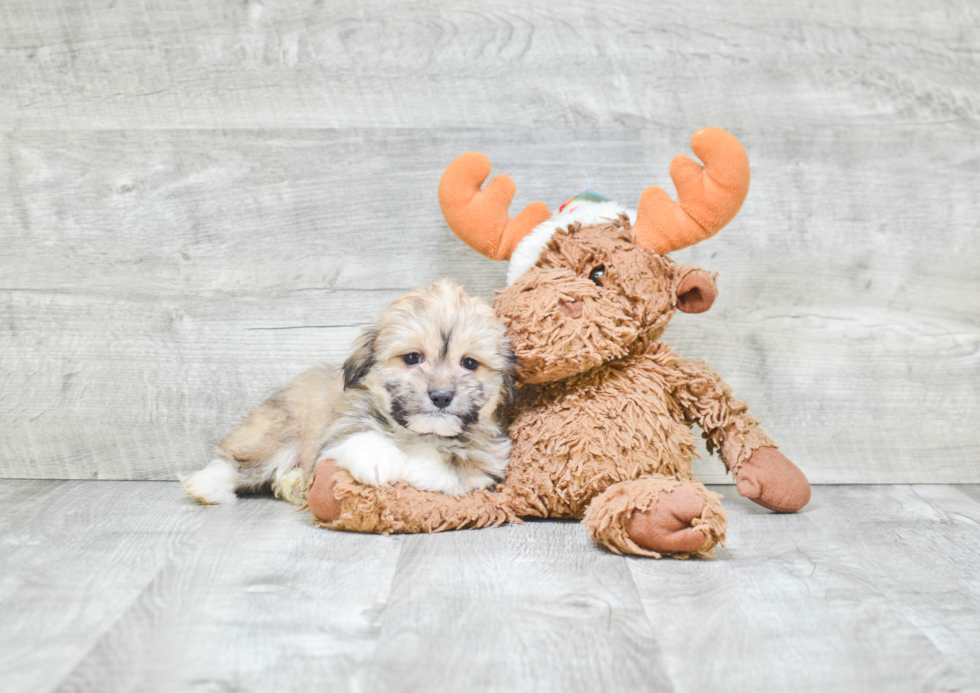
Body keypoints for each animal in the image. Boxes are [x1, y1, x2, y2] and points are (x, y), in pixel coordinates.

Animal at [181, 278, 516, 506]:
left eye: (469, 363)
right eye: (412, 358)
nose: (442, 396)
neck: (420, 434)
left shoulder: (488, 459)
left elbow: (452, 465)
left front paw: (412, 463)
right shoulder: (339, 428)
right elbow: (358, 437)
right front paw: (380, 460)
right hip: (277, 431)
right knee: (238, 461)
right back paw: (208, 484)